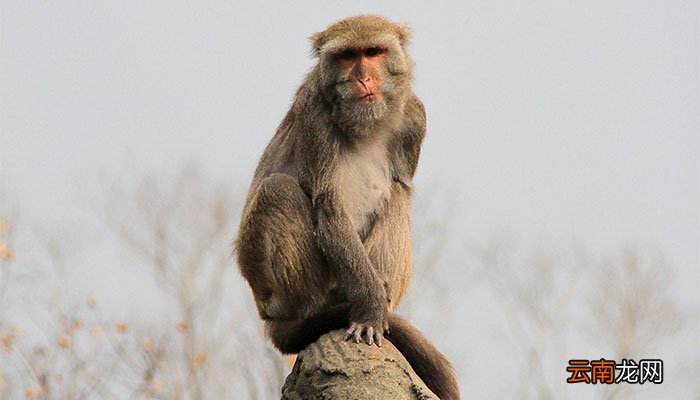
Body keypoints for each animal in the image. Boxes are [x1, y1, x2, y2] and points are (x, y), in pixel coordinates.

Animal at [234, 15, 460, 400]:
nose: (362, 78)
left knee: (396, 194)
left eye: (373, 52)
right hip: (274, 291)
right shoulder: (314, 114)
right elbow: (330, 209)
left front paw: (375, 306)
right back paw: (317, 315)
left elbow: (398, 188)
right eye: (347, 56)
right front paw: (370, 309)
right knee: (278, 190)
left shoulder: (415, 117)